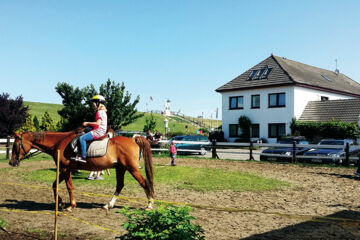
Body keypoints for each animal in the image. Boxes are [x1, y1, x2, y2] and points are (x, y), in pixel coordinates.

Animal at [9, 130, 154, 211]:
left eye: (15, 145)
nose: (11, 162)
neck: (59, 143)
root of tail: (133, 139)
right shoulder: (64, 169)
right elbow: (54, 185)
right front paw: (60, 203)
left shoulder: (65, 169)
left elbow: (69, 186)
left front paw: (71, 205)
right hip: (121, 168)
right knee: (120, 185)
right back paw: (108, 205)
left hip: (132, 168)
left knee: (144, 183)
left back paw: (149, 205)